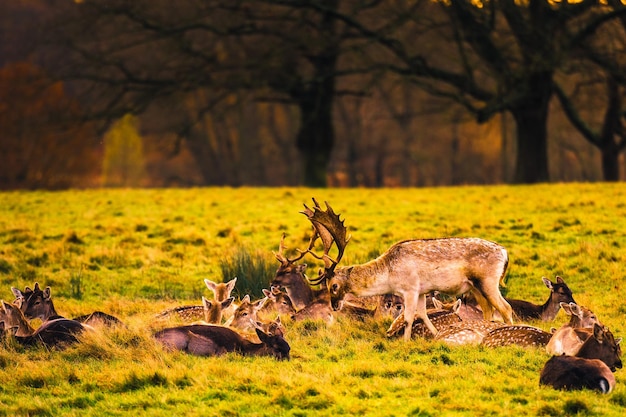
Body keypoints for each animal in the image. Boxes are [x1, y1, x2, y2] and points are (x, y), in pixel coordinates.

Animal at [292, 197, 512, 340]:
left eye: (334, 285)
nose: (334, 306)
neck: (389, 275)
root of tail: (505, 253)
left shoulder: (410, 289)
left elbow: (407, 317)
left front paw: (406, 343)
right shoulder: (422, 291)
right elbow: (423, 313)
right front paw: (435, 335)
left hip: (488, 282)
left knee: (505, 308)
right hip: (475, 287)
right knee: (489, 310)